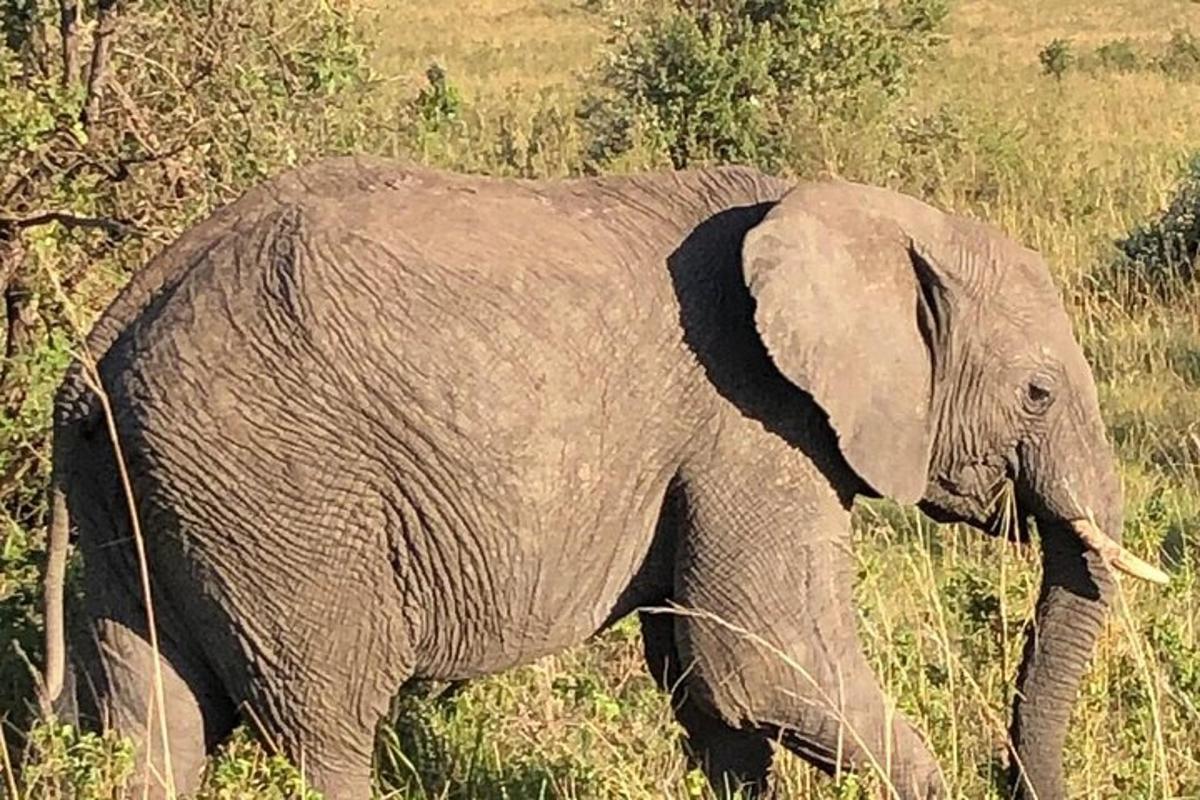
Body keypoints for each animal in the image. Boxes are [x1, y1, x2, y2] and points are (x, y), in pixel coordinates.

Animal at [42, 158, 1166, 800]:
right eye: (1036, 392)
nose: (1013, 774)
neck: (862, 209)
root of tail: (103, 336)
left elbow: (715, 693)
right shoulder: (751, 419)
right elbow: (766, 662)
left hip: (143, 497)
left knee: (152, 725)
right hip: (283, 505)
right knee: (324, 728)